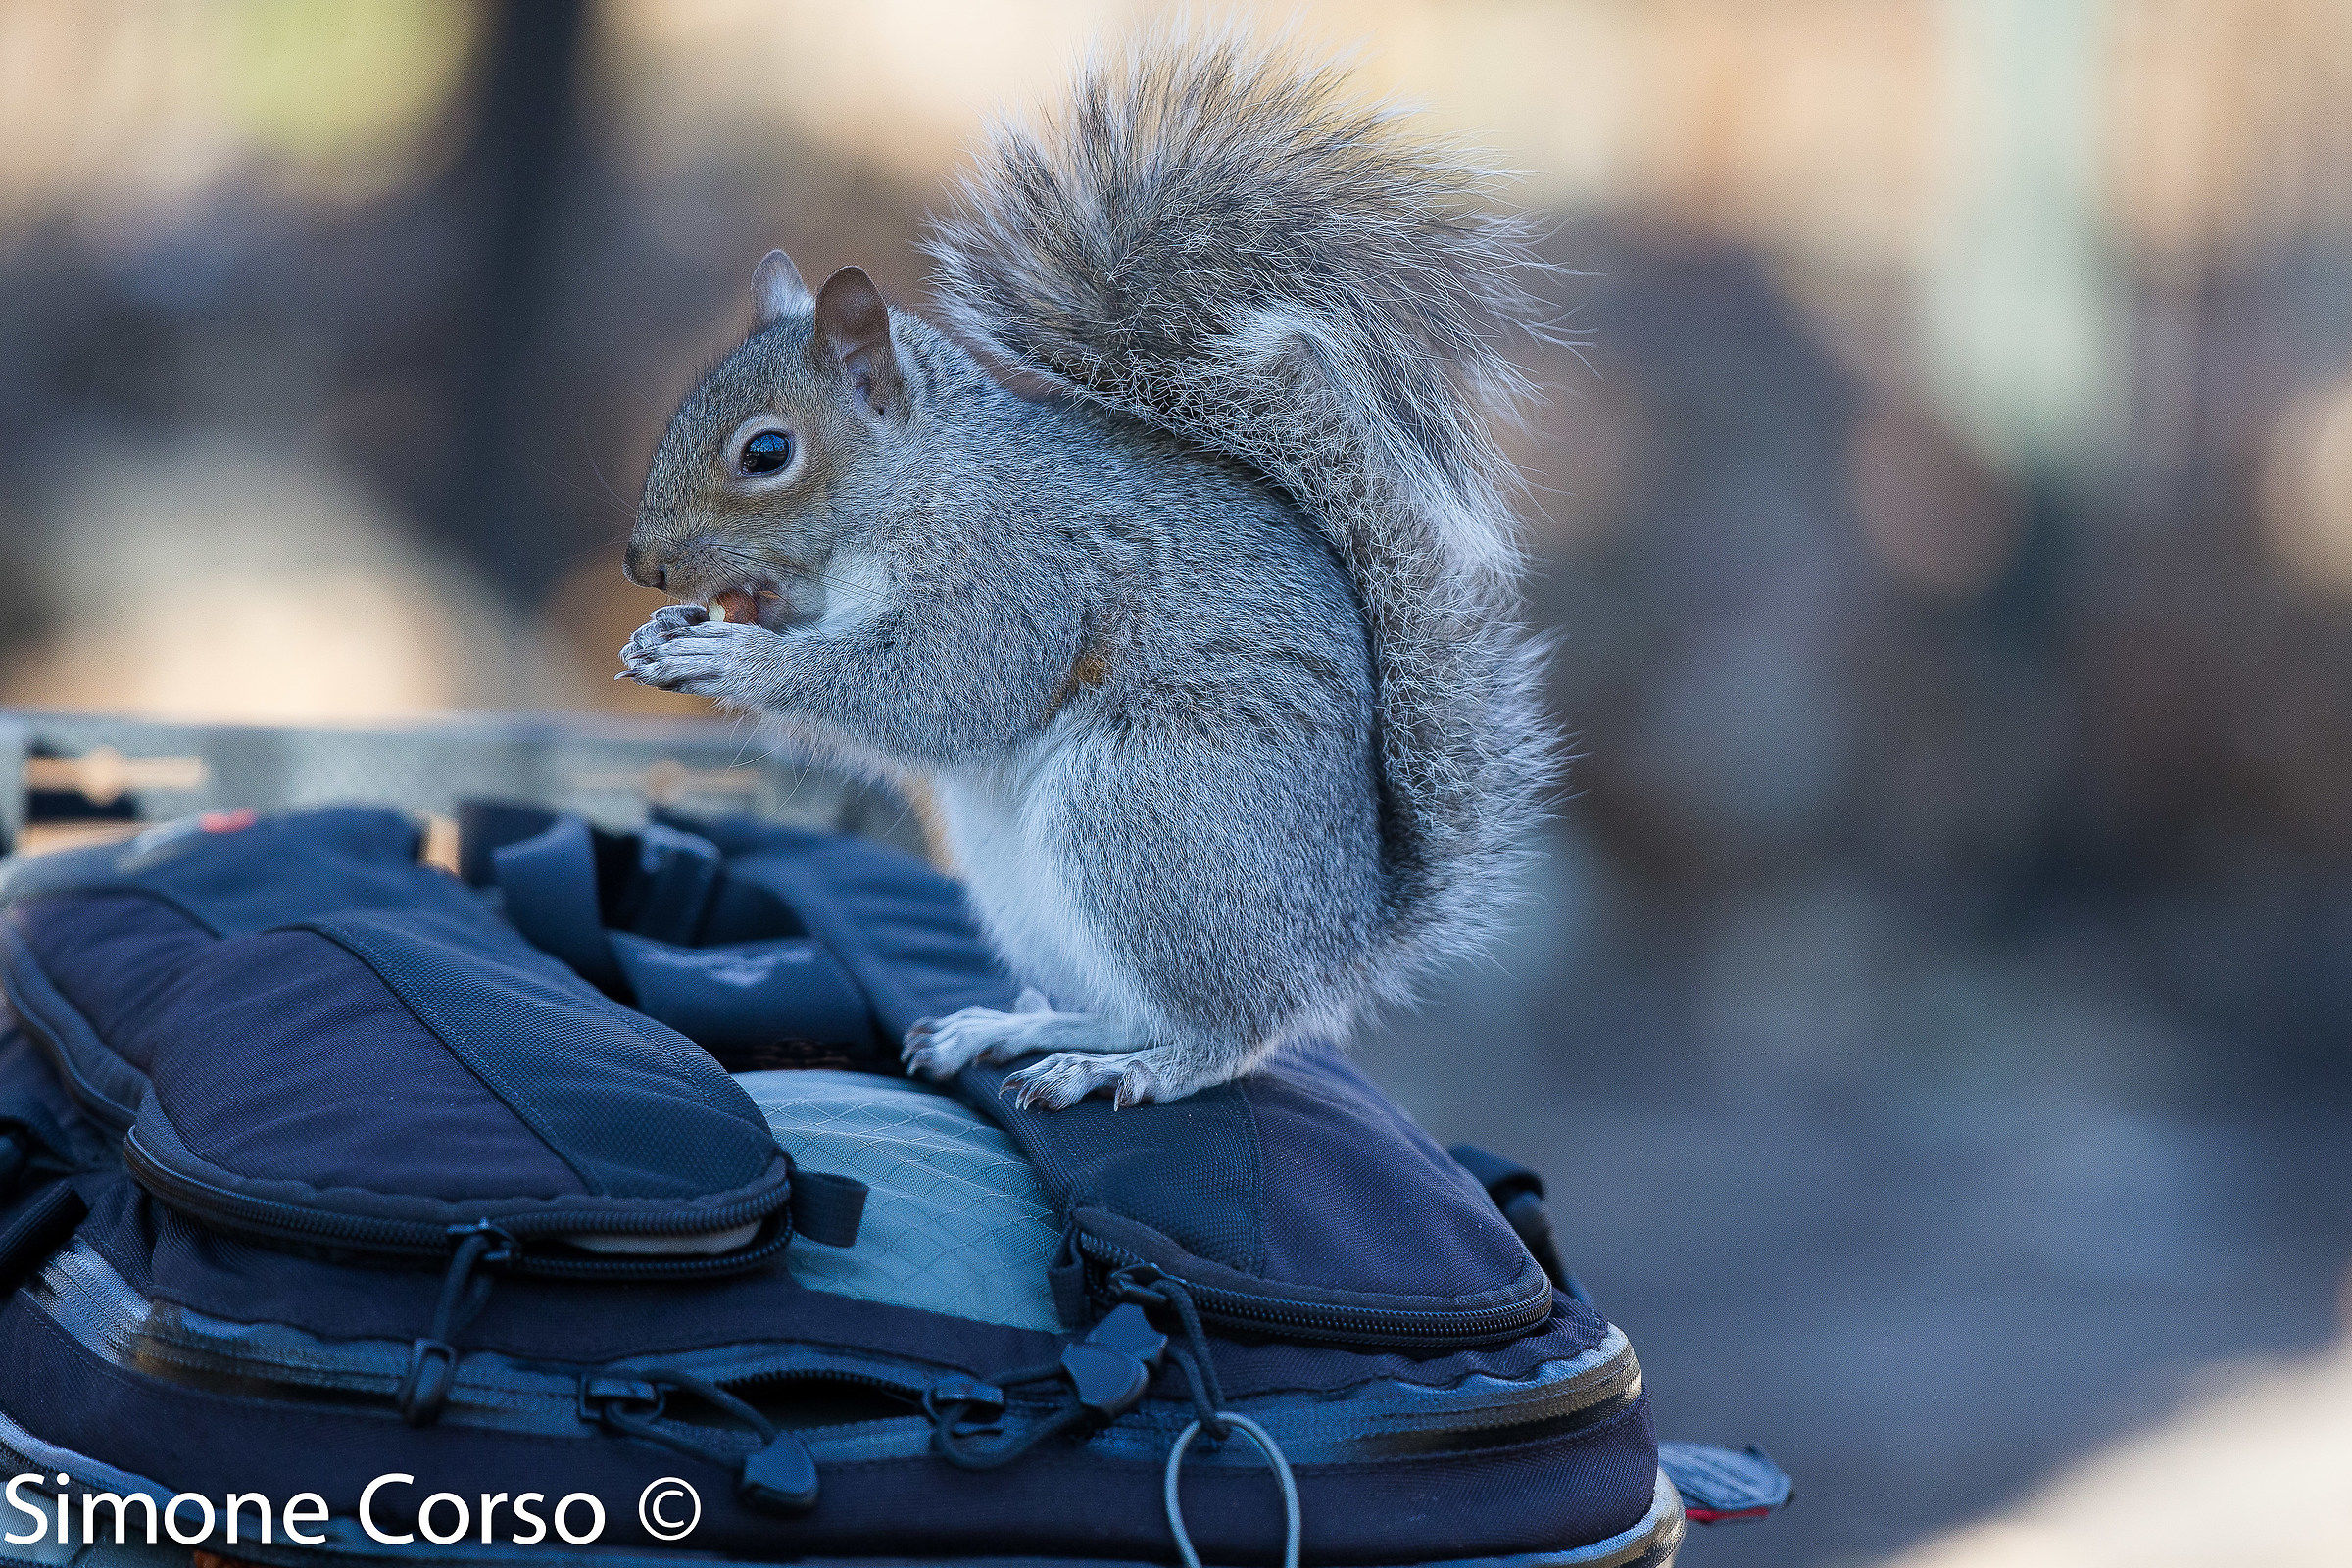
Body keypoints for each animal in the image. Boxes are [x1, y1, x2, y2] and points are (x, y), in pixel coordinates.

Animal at [619, 35, 1555, 1109]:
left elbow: (941, 690)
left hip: (1150, 817)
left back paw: (1137, 1069)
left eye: (766, 453)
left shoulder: (1016, 573)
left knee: (1228, 1031)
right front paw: (669, 635)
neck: (923, 484)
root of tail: (1344, 937)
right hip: (1024, 878)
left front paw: (736, 662)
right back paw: (1010, 1031)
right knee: (1124, 1002)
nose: (642, 566)